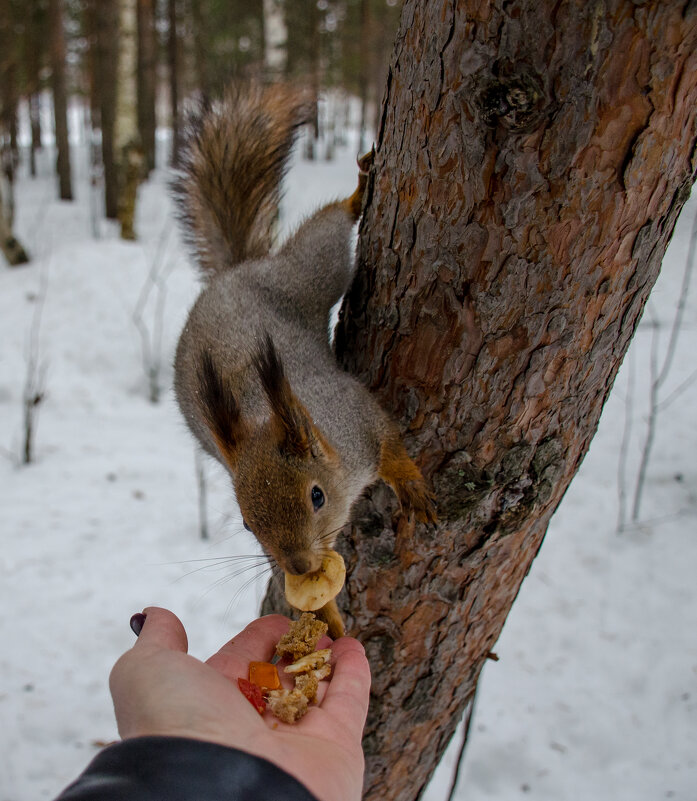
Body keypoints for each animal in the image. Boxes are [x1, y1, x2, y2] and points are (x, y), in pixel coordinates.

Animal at [173, 84, 436, 636]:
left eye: (316, 497)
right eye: (248, 522)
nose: (297, 565)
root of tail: (233, 273)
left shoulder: (357, 415)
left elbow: (391, 440)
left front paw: (410, 483)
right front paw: (327, 617)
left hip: (309, 275)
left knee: (326, 234)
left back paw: (357, 193)